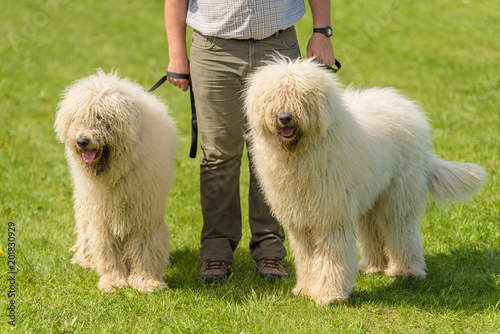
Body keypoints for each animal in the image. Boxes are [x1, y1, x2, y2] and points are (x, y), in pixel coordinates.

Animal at [54, 70, 176, 292]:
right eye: (77, 118)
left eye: (101, 117)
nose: (82, 141)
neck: (116, 171)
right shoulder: (102, 215)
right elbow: (107, 249)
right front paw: (114, 282)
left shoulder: (144, 211)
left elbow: (145, 246)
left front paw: (146, 281)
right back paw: (86, 260)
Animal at [244, 58, 486, 306]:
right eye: (273, 97)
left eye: (302, 97)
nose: (285, 118)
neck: (300, 153)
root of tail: (405, 104)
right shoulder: (300, 220)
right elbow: (307, 258)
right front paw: (305, 289)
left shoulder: (331, 215)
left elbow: (331, 256)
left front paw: (328, 295)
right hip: (370, 194)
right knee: (372, 230)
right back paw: (373, 266)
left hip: (399, 193)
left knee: (403, 230)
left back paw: (408, 270)